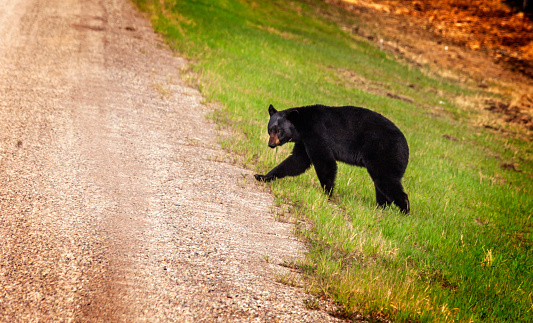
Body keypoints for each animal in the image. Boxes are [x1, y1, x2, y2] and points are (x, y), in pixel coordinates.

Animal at [256, 105, 410, 214]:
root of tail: (406, 146)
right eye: (270, 129)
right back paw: (380, 208)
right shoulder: (303, 142)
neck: (302, 126)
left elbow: (324, 161)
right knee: (381, 186)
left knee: (386, 180)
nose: (271, 144)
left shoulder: (316, 132)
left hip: (384, 153)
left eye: (279, 131)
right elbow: (296, 162)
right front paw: (262, 176)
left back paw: (404, 210)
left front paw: (327, 193)